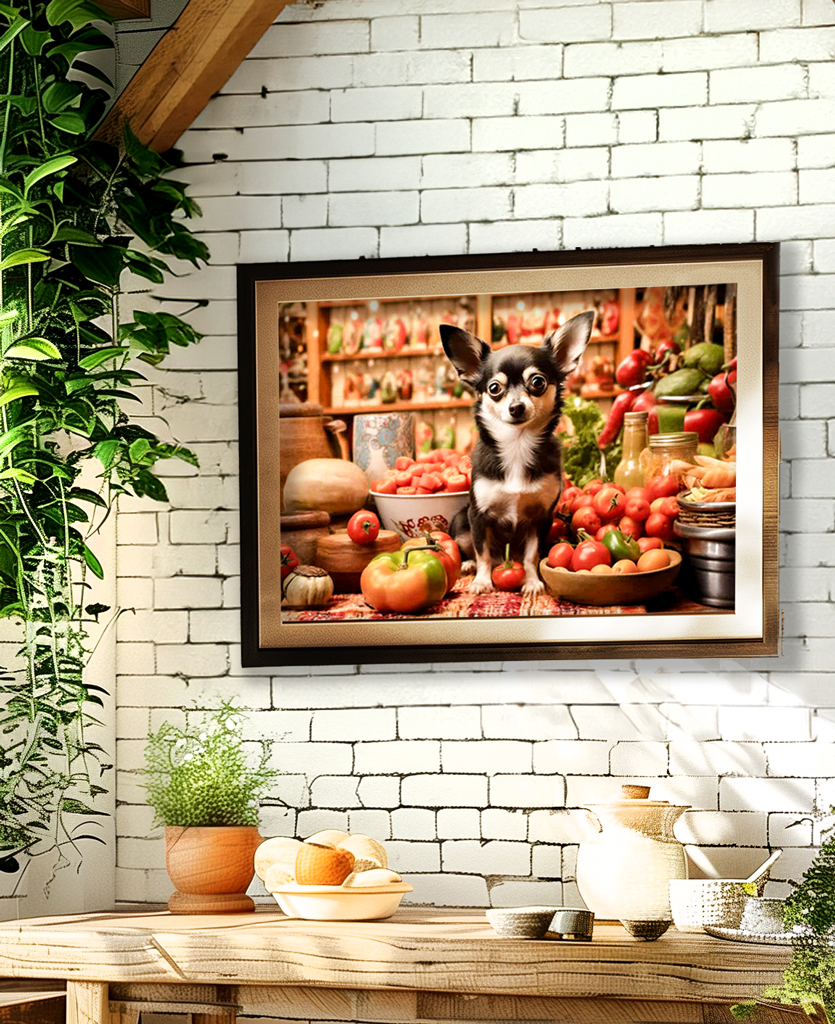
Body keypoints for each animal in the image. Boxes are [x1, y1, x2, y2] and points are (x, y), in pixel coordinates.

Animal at [444, 309, 594, 593]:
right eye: (494, 388)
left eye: (538, 382)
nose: (516, 407)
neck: (517, 444)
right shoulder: (478, 515)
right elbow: (483, 552)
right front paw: (482, 581)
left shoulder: (541, 517)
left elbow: (531, 555)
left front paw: (532, 581)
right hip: (460, 519)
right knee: (471, 547)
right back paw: (468, 566)